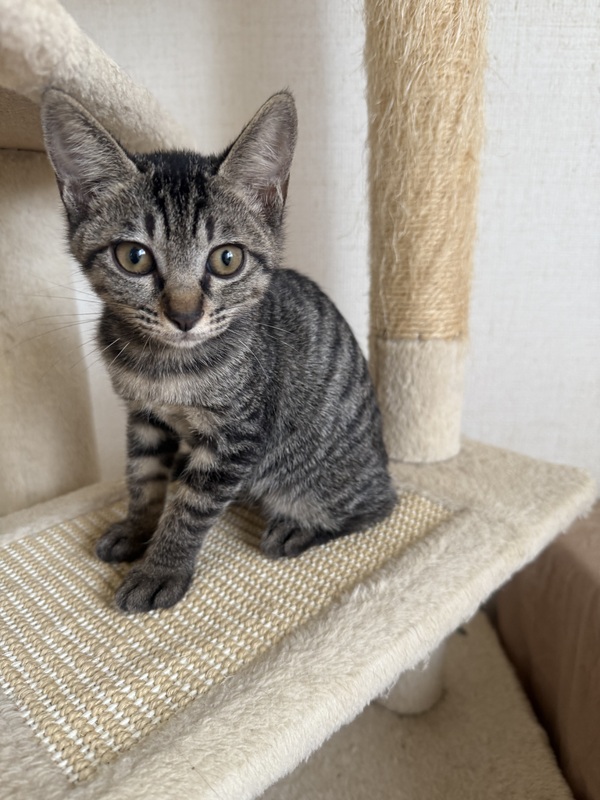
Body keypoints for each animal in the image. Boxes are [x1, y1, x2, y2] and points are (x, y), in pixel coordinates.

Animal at [41, 88, 396, 613]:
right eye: (134, 257)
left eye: (227, 259)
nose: (185, 315)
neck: (164, 366)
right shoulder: (145, 417)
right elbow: (143, 478)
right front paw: (136, 528)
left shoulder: (235, 438)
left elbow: (189, 507)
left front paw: (162, 568)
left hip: (317, 478)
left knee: (379, 506)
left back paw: (298, 528)